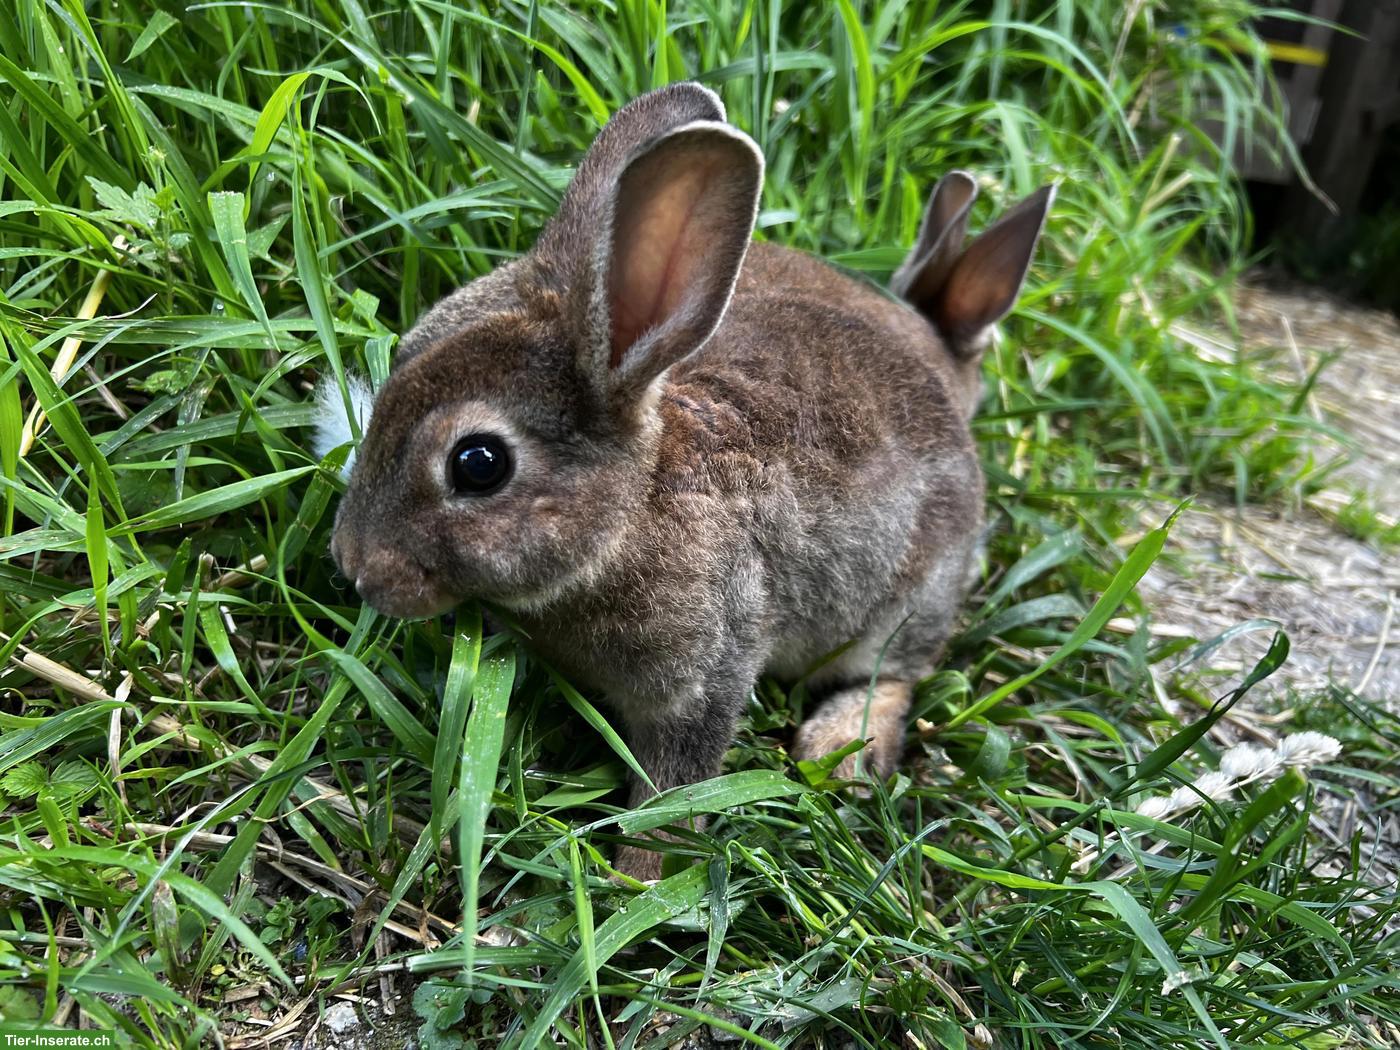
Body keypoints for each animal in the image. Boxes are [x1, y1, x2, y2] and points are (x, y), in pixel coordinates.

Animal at [325, 82, 1054, 880]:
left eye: (477, 464)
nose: (355, 567)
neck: (630, 517)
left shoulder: (707, 675)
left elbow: (675, 786)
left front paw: (639, 876)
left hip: (910, 595)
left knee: (893, 671)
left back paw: (838, 749)